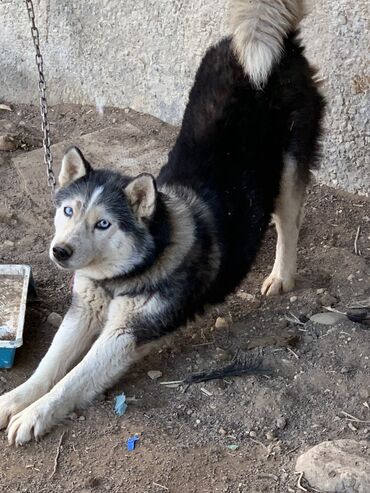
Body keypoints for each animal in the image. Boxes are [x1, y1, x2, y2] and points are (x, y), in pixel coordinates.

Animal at [0, 0, 324, 444]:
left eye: (104, 224)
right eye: (69, 211)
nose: (60, 251)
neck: (124, 275)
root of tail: (280, 45)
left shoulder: (124, 334)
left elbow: (72, 380)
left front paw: (35, 413)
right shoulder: (83, 311)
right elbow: (48, 366)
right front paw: (15, 399)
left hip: (288, 170)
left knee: (288, 225)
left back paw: (280, 276)